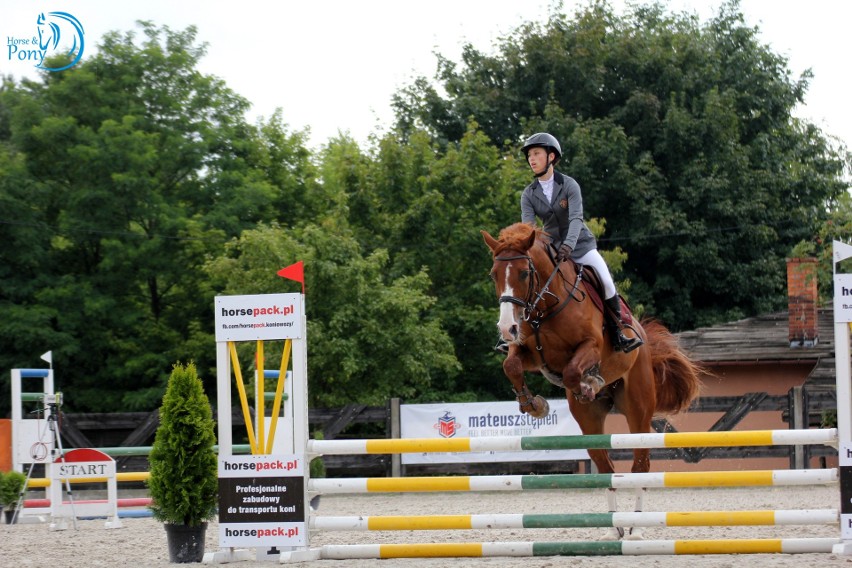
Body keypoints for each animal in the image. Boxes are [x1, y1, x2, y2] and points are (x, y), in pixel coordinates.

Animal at [482, 221, 704, 536]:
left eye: (524, 273)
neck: (546, 306)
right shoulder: (529, 352)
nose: (506, 327)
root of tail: (644, 337)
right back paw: (615, 528)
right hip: (589, 421)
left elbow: (573, 371)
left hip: (638, 409)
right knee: (606, 467)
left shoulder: (592, 347)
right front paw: (534, 405)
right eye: (494, 274)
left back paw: (635, 527)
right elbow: (511, 364)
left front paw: (588, 383)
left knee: (641, 464)